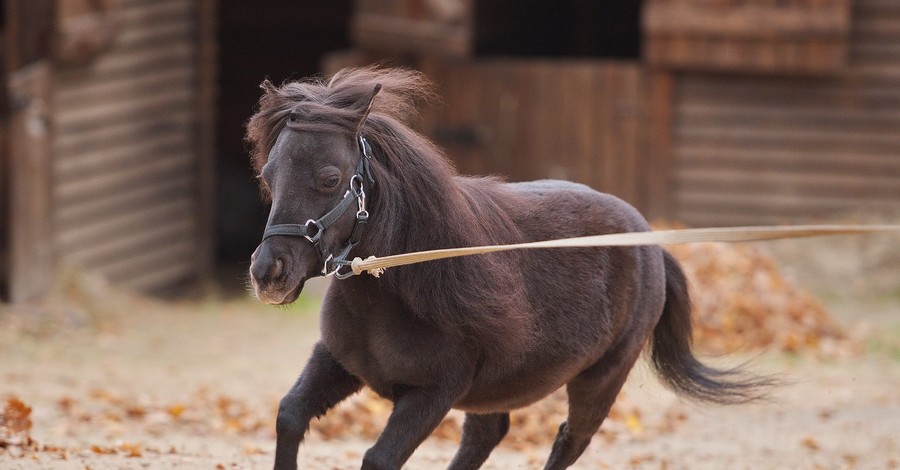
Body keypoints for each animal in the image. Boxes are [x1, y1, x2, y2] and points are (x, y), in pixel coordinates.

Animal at [250, 67, 768, 470]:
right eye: (269, 174)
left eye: (329, 179)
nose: (267, 273)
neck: (403, 283)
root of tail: (651, 244)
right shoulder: (337, 361)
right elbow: (289, 416)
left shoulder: (431, 395)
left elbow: (378, 458)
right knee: (487, 436)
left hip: (600, 382)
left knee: (567, 441)